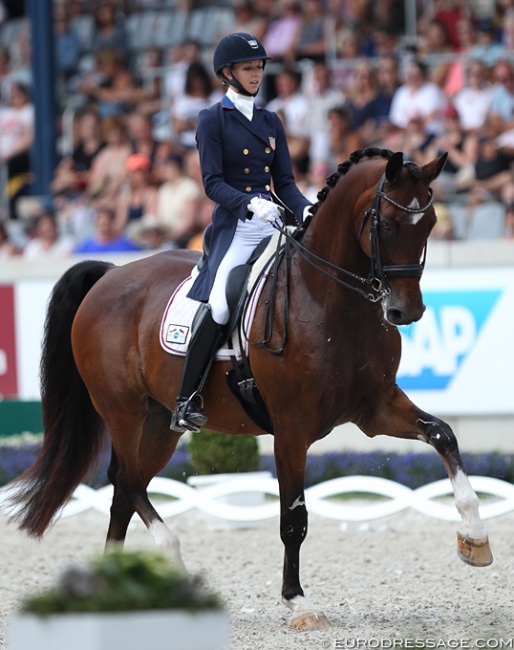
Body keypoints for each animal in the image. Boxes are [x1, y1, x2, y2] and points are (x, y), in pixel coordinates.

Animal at [8, 148, 490, 628]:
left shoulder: (376, 408)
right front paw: (298, 601)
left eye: (429, 224)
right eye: (387, 224)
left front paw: (475, 538)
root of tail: (109, 276)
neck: (330, 301)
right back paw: (171, 563)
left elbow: (443, 434)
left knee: (127, 489)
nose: (406, 311)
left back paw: (117, 583)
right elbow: (294, 517)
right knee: (125, 481)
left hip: (160, 423)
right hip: (124, 411)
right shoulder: (292, 428)